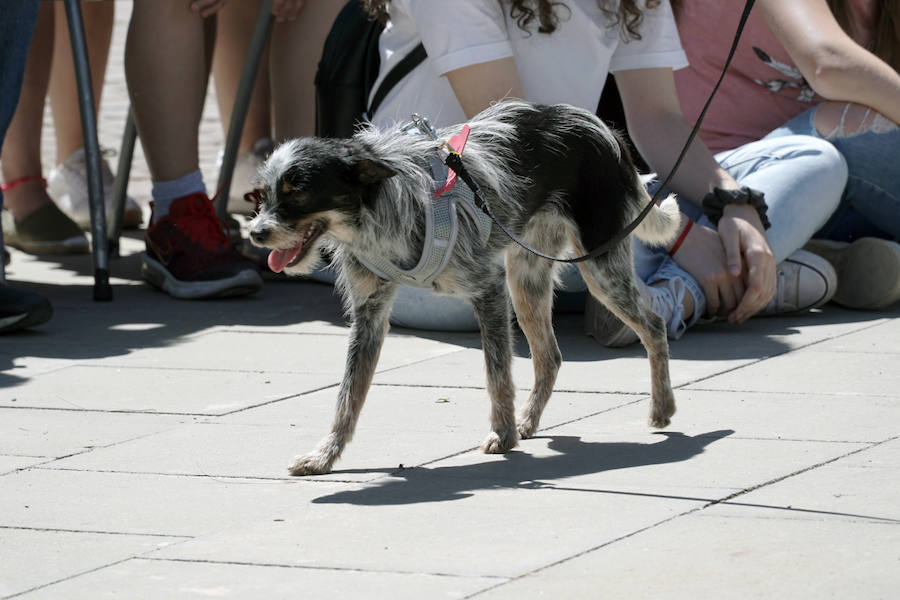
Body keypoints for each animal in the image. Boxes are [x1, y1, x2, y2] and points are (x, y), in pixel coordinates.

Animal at [250, 99, 680, 474]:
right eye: (264, 195)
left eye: (299, 192)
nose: (255, 233)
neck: (382, 211)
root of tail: (604, 128)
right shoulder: (369, 314)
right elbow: (348, 395)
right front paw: (325, 454)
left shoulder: (488, 291)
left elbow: (497, 374)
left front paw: (502, 435)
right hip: (526, 279)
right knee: (550, 357)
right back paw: (529, 421)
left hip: (598, 270)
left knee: (654, 326)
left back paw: (662, 408)